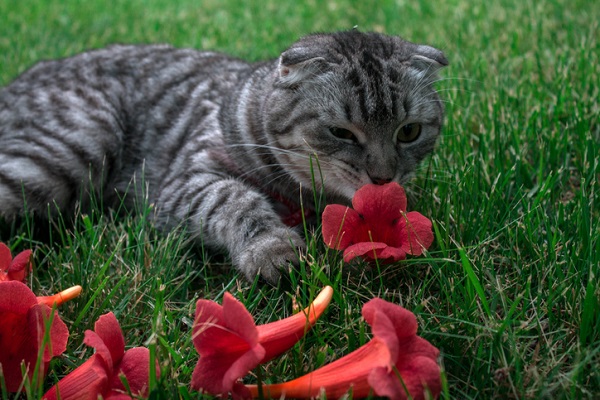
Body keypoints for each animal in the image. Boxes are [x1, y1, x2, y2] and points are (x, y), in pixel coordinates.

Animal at [0, 30, 448, 282]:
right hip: (73, 147)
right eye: (341, 132)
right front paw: (271, 247)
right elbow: (235, 200)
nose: (384, 177)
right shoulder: (188, 180)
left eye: (409, 132)